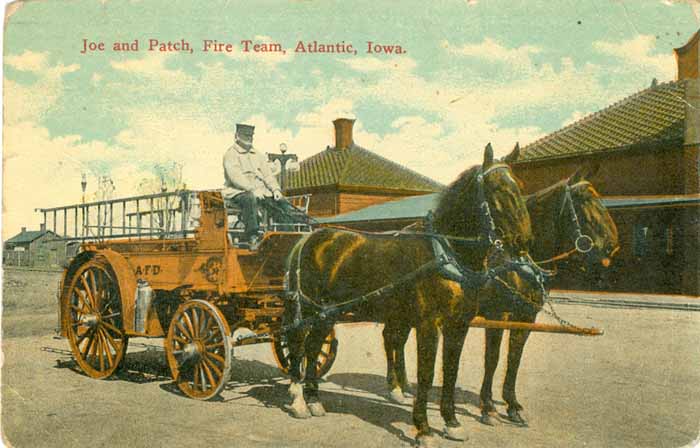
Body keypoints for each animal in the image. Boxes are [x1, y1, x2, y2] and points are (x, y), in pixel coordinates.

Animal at [282, 145, 532, 446]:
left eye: (519, 187)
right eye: (498, 189)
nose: (523, 241)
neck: (445, 252)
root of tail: (310, 239)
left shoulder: (458, 325)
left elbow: (450, 371)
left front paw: (452, 423)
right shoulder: (428, 325)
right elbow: (426, 375)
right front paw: (423, 429)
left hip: (327, 313)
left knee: (313, 347)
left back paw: (314, 400)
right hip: (308, 310)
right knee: (297, 346)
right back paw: (298, 401)